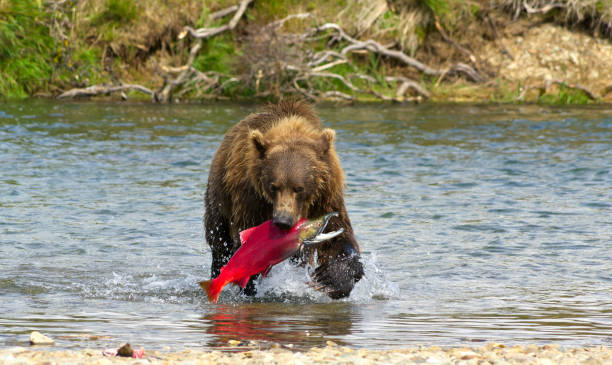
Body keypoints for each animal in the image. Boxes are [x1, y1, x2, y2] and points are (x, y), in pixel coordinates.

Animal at [204, 98, 364, 298]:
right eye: (274, 186)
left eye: (299, 188)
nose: (283, 221)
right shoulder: (251, 200)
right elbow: (246, 245)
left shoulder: (326, 197)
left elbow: (339, 237)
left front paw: (329, 278)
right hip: (220, 199)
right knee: (219, 243)